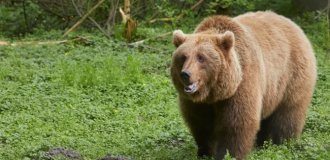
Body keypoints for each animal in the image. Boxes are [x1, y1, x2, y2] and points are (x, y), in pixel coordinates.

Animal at [170, 10, 318, 159]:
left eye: (201, 57)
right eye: (183, 57)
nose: (185, 74)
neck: (214, 93)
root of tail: (293, 24)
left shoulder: (243, 83)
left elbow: (237, 122)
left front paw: (229, 154)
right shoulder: (197, 103)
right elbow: (201, 123)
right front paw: (205, 152)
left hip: (291, 75)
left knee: (288, 112)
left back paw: (283, 141)